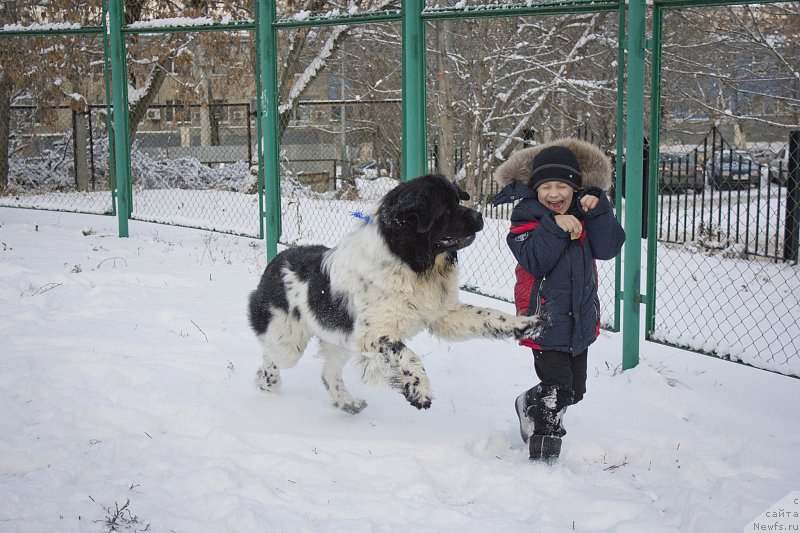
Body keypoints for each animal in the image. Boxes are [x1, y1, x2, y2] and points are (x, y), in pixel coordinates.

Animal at [247, 174, 540, 412]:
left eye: (458, 199)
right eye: (445, 209)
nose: (479, 217)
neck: (410, 262)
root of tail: (277, 260)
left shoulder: (443, 314)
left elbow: (488, 315)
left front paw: (527, 324)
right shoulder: (374, 334)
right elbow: (406, 354)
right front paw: (419, 390)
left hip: (337, 340)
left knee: (328, 373)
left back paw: (347, 403)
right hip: (288, 342)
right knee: (271, 356)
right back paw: (266, 382)